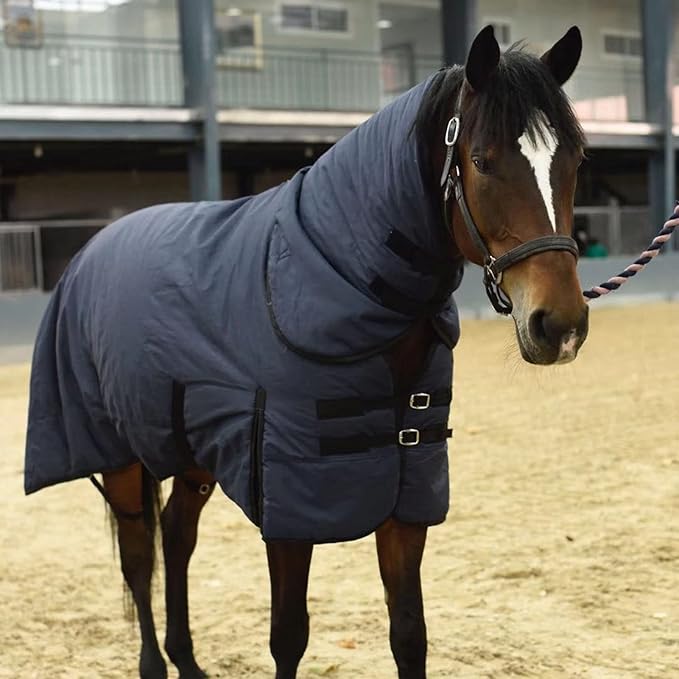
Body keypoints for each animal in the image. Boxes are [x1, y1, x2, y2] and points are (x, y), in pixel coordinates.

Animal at [24, 25, 588, 679]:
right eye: (481, 161)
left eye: (575, 160)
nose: (560, 324)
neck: (332, 276)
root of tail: (92, 249)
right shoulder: (290, 506)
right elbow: (289, 636)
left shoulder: (404, 492)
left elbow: (409, 633)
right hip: (118, 455)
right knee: (140, 558)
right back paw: (155, 664)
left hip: (192, 455)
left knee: (178, 540)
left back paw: (187, 660)